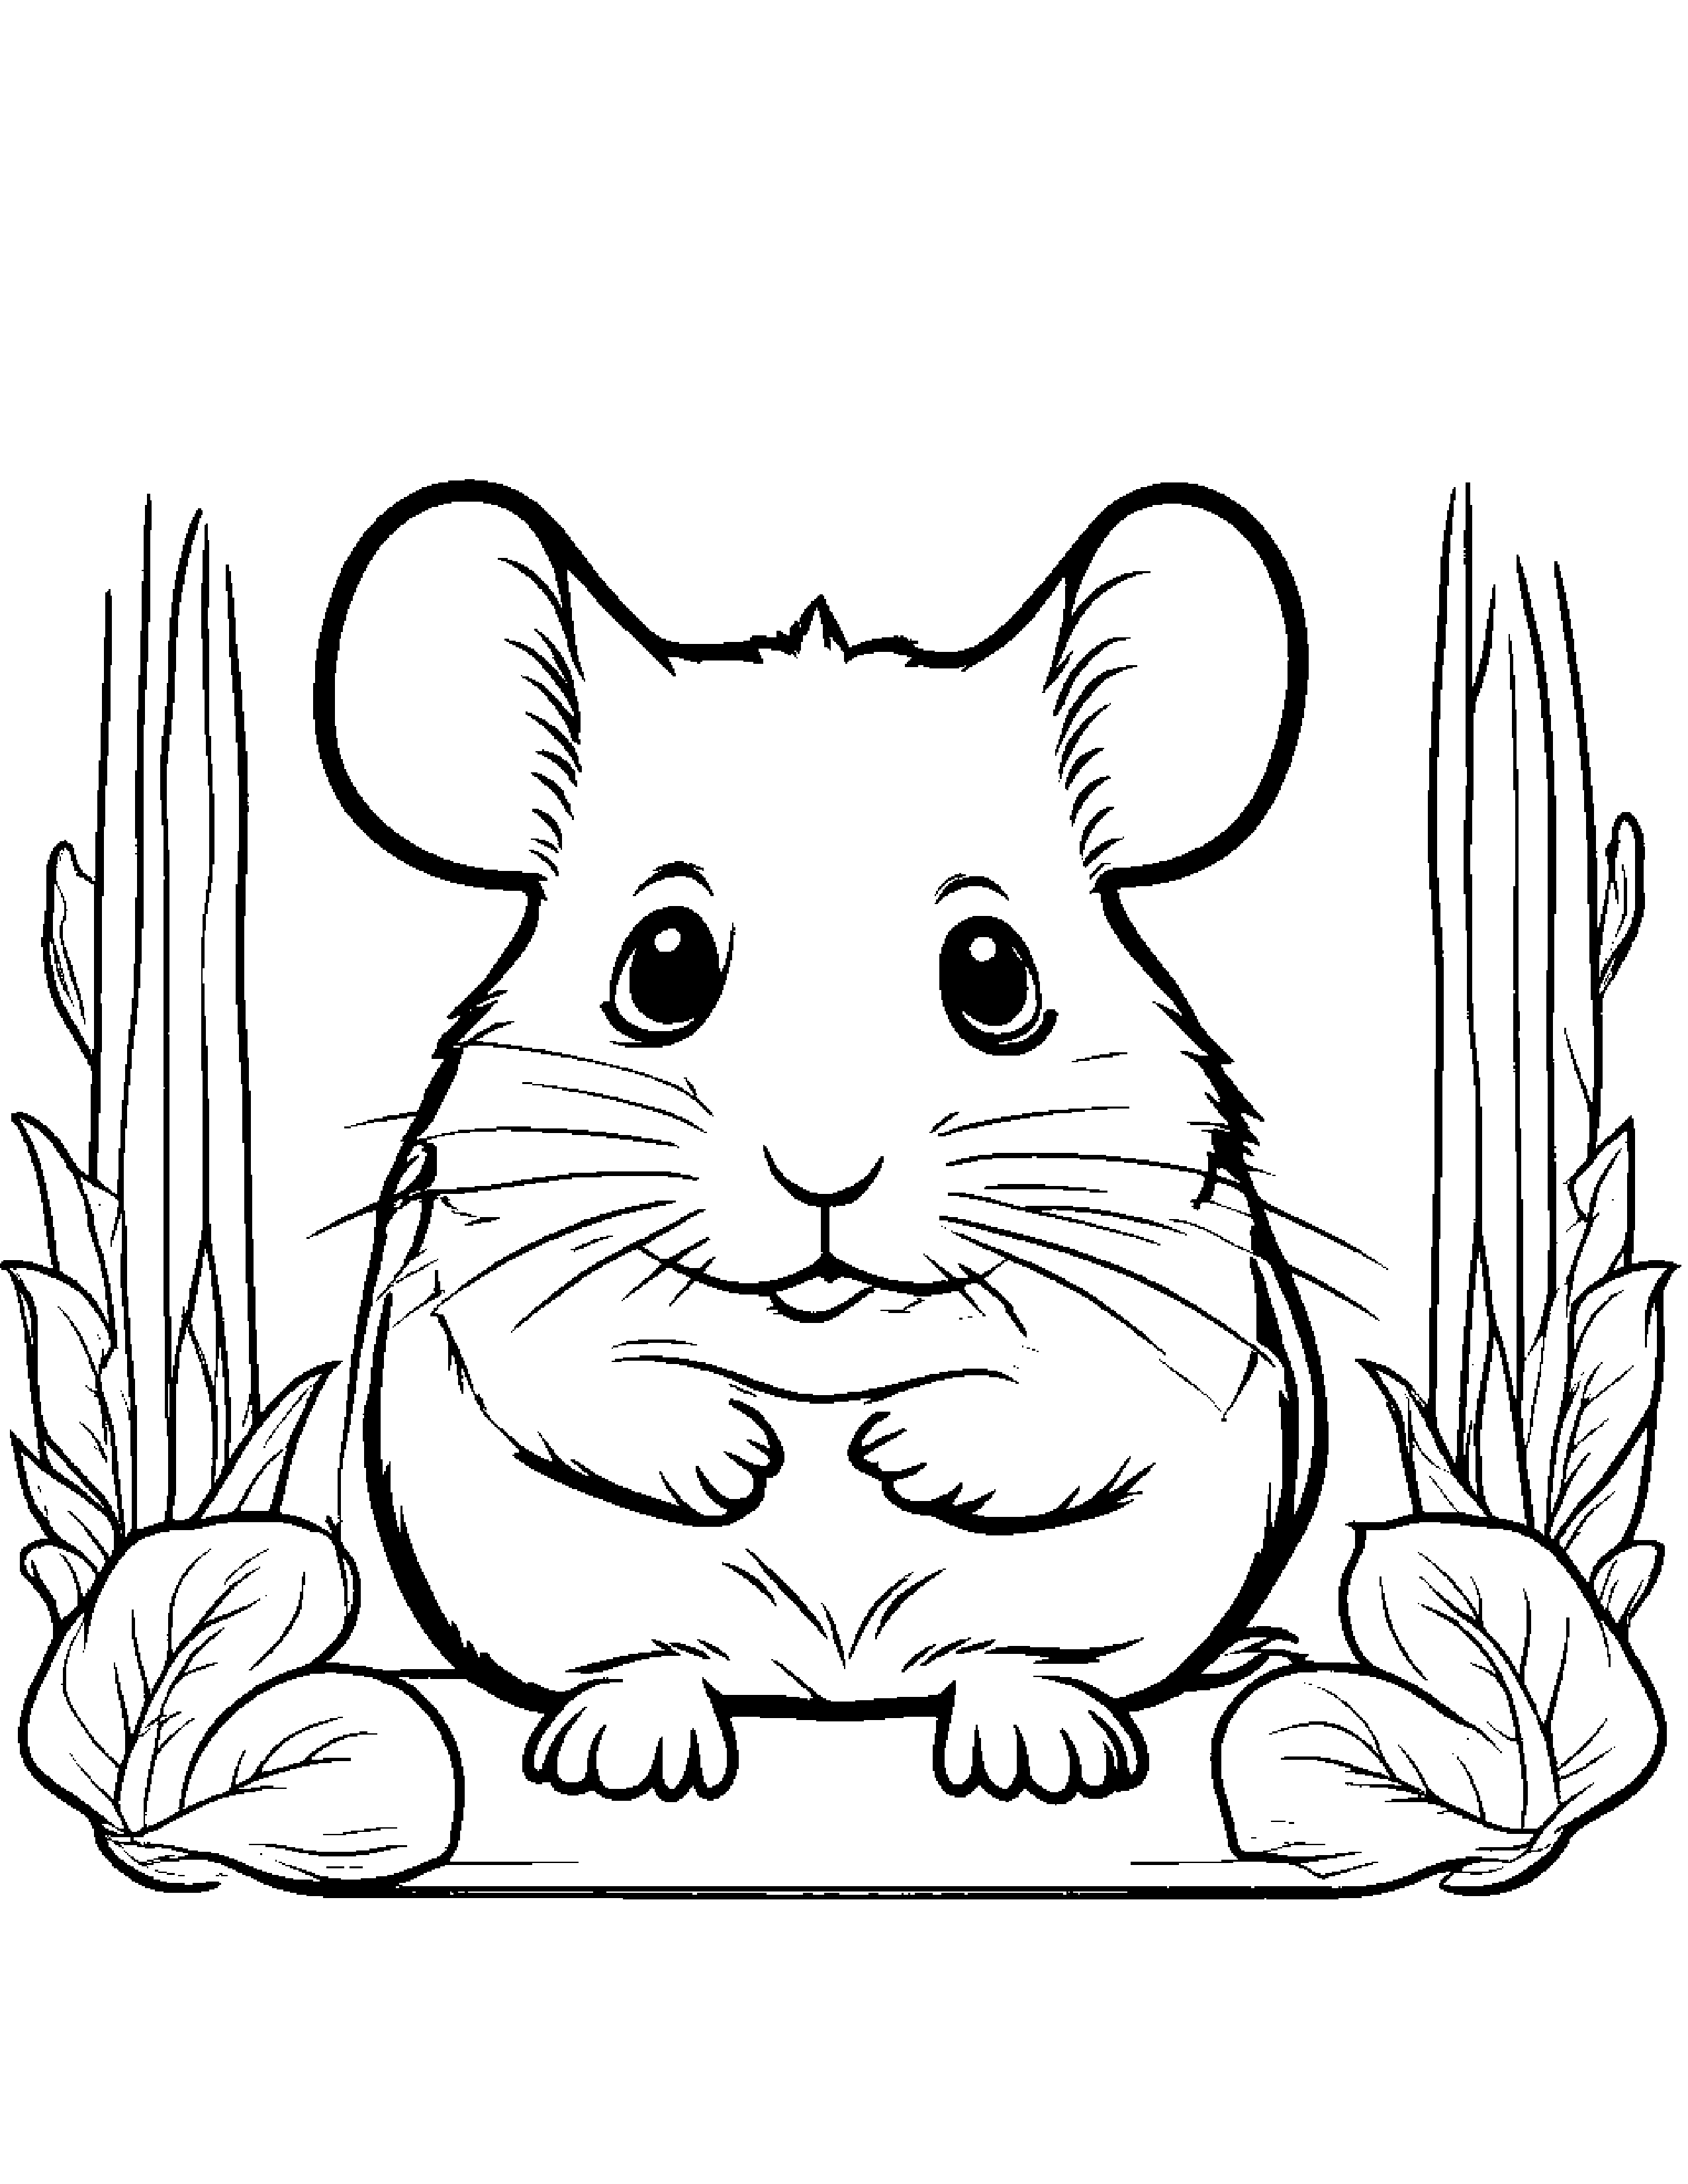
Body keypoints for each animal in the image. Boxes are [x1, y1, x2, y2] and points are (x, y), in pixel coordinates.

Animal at [316, 480, 1324, 1803]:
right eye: (664, 964)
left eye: (992, 975)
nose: (824, 1179)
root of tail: (833, 1691)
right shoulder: (487, 1247)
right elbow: (559, 1371)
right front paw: (736, 1462)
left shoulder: (1183, 1273)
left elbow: (1097, 1395)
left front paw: (902, 1456)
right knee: (647, 1664)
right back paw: (629, 1746)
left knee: (1022, 1664)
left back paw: (1045, 1744)